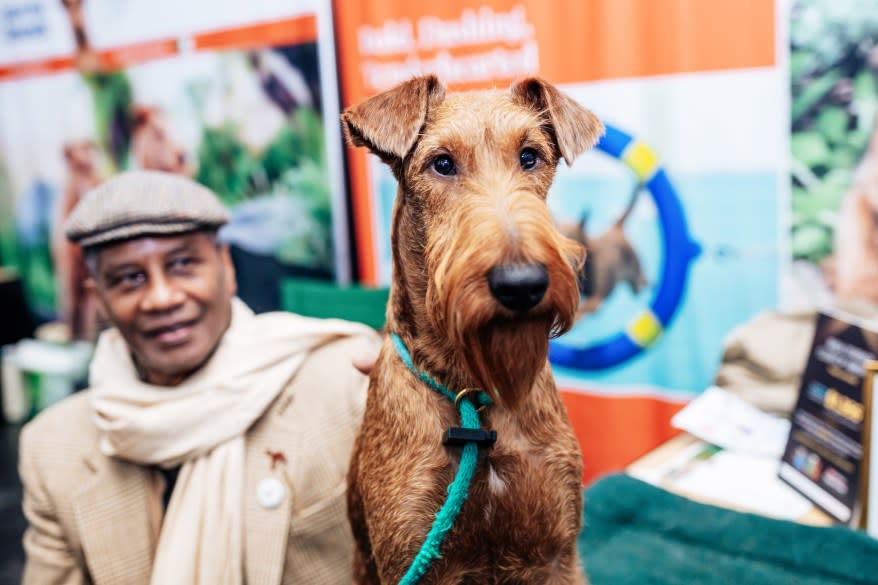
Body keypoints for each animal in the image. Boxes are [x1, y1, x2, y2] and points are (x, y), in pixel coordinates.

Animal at [344, 75, 604, 580]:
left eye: (530, 155)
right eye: (442, 163)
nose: (521, 284)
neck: (474, 395)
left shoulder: (556, 553)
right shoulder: (411, 559)